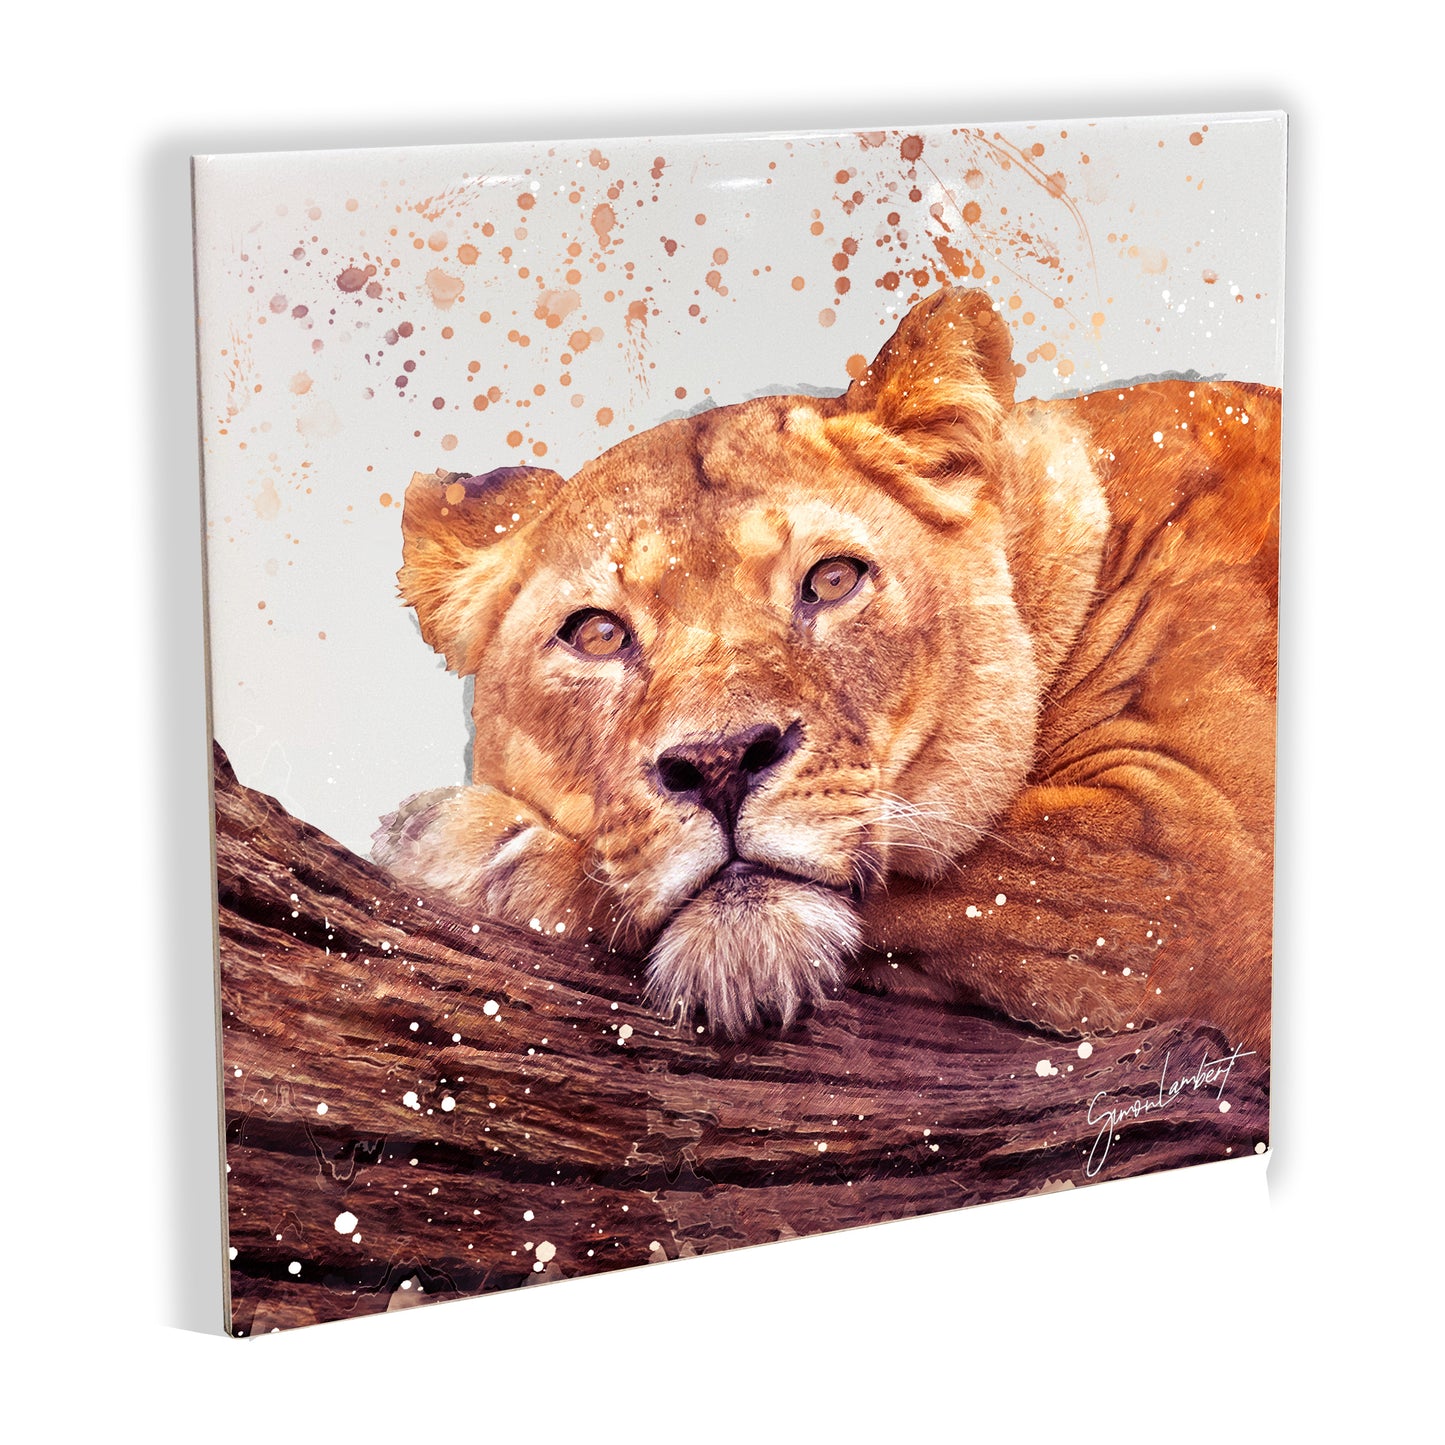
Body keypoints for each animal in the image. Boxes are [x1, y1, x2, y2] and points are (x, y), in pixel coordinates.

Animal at [375, 286, 1278, 1049]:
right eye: (596, 634)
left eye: (832, 580)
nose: (718, 763)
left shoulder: (1195, 852)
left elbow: (953, 869)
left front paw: (462, 846)